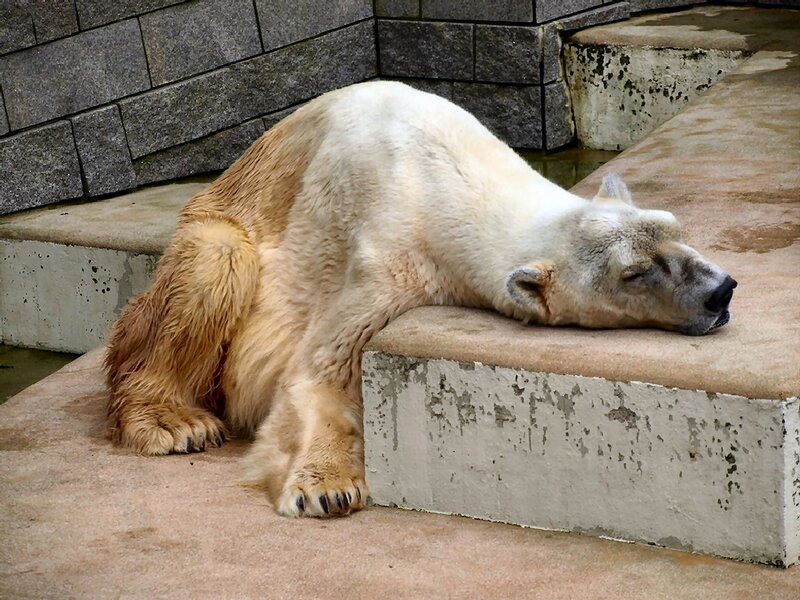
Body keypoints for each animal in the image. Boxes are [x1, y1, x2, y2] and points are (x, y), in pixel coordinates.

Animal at [105, 81, 737, 518]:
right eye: (635, 272)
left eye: (675, 228)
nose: (720, 291)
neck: (446, 171)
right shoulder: (384, 247)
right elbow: (319, 370)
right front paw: (328, 488)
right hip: (216, 225)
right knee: (215, 267)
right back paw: (174, 423)